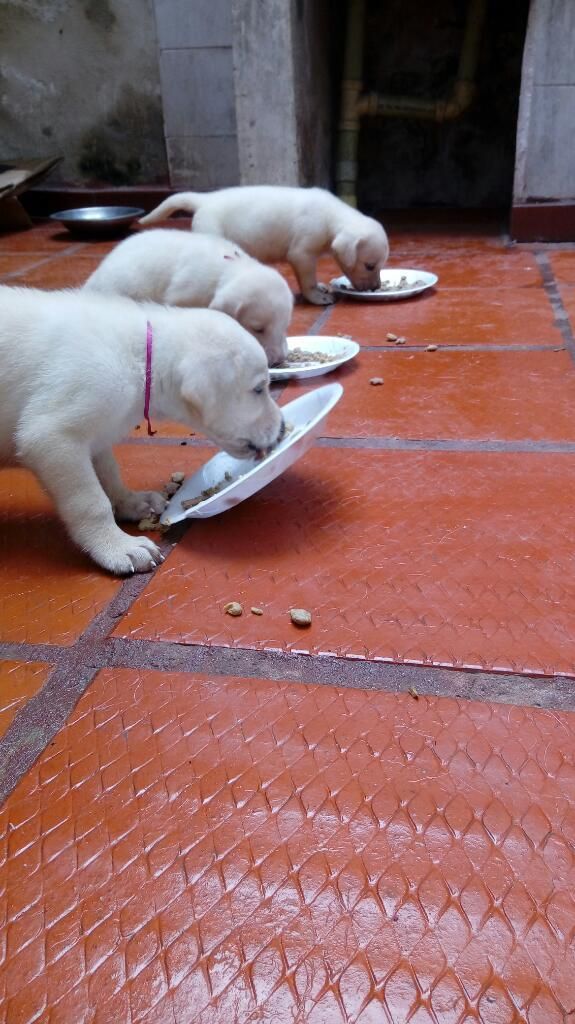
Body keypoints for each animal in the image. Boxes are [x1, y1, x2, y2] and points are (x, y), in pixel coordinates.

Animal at [1, 284, 282, 577]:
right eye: (259, 389)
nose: (283, 427)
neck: (140, 359)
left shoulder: (97, 435)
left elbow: (109, 475)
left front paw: (131, 503)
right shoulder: (53, 437)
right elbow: (91, 502)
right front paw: (116, 546)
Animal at [139, 186, 388, 303]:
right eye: (369, 265)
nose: (376, 288)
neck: (331, 216)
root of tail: (204, 200)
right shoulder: (302, 254)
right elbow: (307, 280)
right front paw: (317, 297)